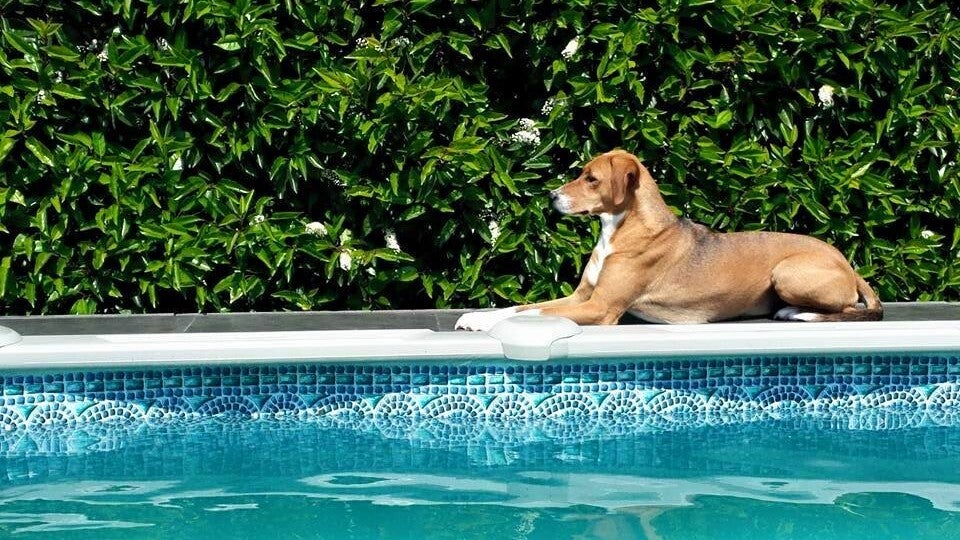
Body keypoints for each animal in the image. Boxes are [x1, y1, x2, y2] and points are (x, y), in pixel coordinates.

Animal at [455, 149, 882, 331]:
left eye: (591, 178)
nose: (550, 197)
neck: (620, 230)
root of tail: (846, 263)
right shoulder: (581, 297)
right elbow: (520, 307)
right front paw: (476, 317)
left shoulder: (600, 308)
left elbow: (533, 313)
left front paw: (480, 323)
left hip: (787, 272)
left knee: (850, 309)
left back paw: (799, 312)